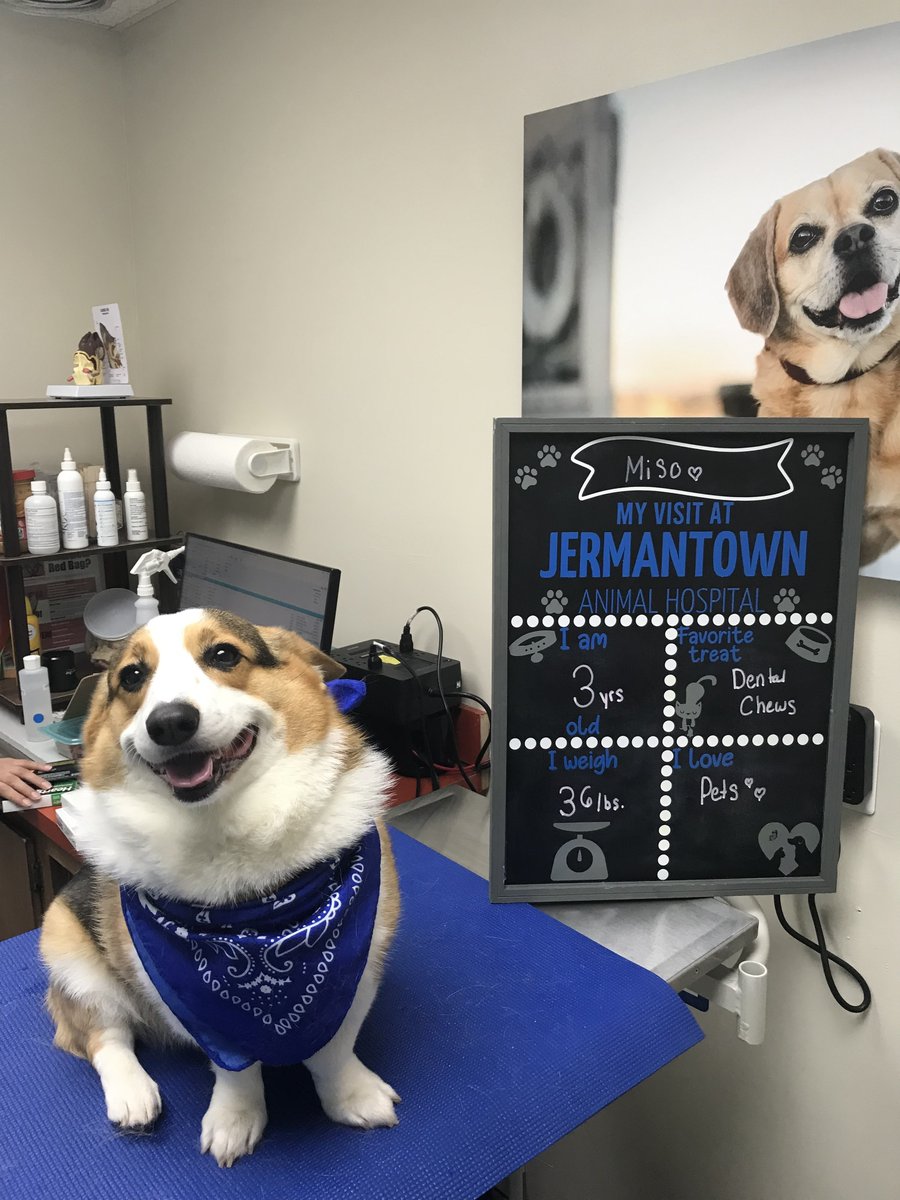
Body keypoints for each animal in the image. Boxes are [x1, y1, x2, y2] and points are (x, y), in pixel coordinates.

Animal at [38, 609, 398, 1161]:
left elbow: (334, 1049)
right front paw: (235, 1121)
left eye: (224, 655)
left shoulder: (359, 966)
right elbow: (236, 1072)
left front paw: (351, 1097)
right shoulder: (192, 1003)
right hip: (71, 956)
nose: (168, 722)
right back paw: (133, 1094)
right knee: (104, 1036)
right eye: (132, 677)